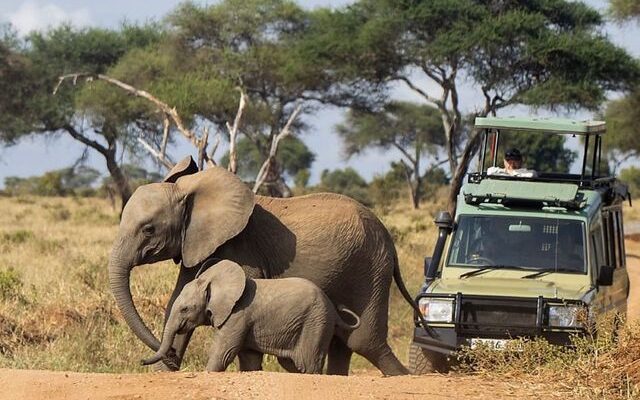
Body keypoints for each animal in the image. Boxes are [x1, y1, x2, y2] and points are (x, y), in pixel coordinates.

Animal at [141, 260, 361, 373]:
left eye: (185, 309)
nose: (141, 362)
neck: (214, 280)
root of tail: (334, 311)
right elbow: (249, 359)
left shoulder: (238, 315)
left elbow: (224, 353)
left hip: (316, 323)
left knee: (308, 363)